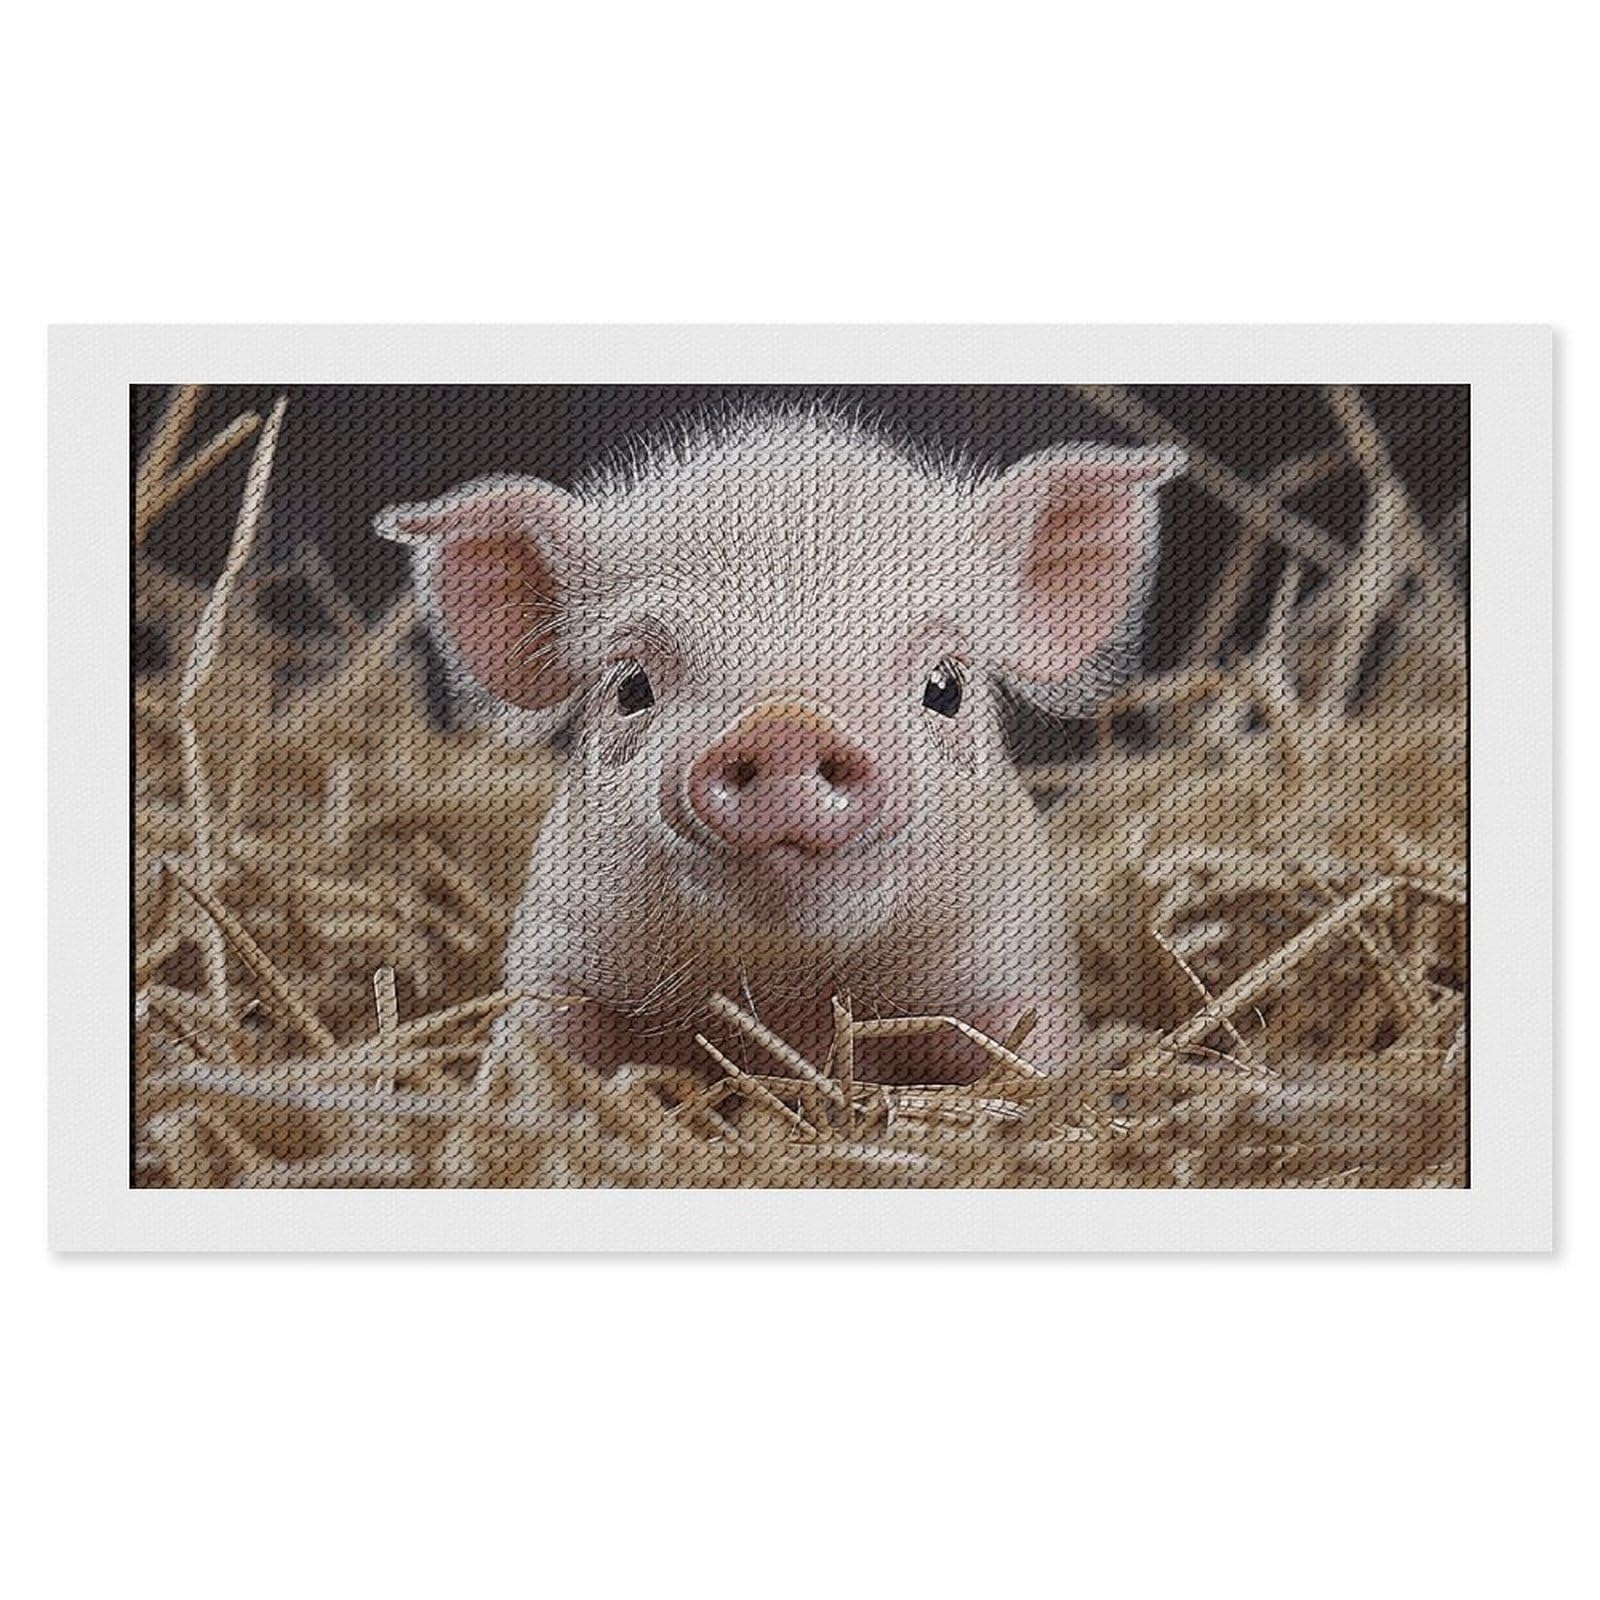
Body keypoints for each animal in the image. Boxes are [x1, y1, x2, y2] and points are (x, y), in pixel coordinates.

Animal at [377, 406, 1184, 1091]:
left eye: (946, 686)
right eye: (631, 685)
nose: (786, 724)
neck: (788, 998)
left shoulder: (1019, 961)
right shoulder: (557, 952)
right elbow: (543, 1063)